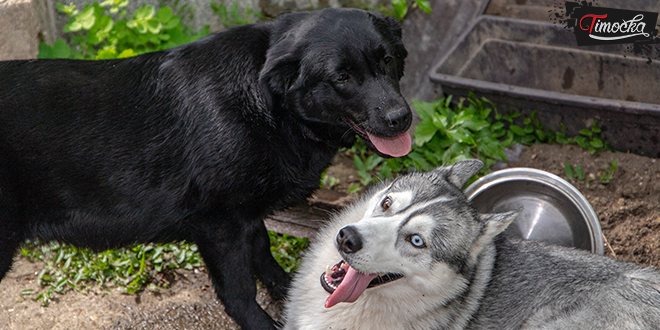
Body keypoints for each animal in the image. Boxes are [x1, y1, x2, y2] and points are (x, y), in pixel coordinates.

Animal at [0, 8, 410, 330]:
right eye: (341, 77)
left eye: (387, 60)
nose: (401, 119)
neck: (270, 108)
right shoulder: (219, 224)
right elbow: (239, 293)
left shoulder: (247, 214)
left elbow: (263, 252)